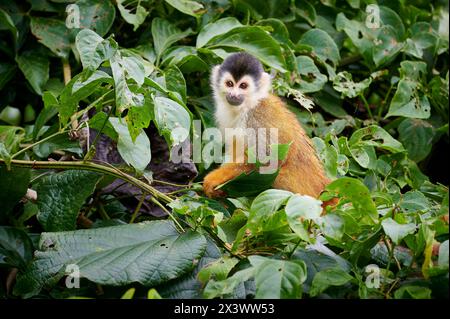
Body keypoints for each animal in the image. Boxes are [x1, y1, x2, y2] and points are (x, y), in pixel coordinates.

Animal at [202, 51, 332, 204]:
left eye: (243, 86)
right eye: (229, 84)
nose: (233, 95)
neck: (248, 105)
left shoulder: (257, 118)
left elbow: (265, 160)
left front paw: (213, 179)